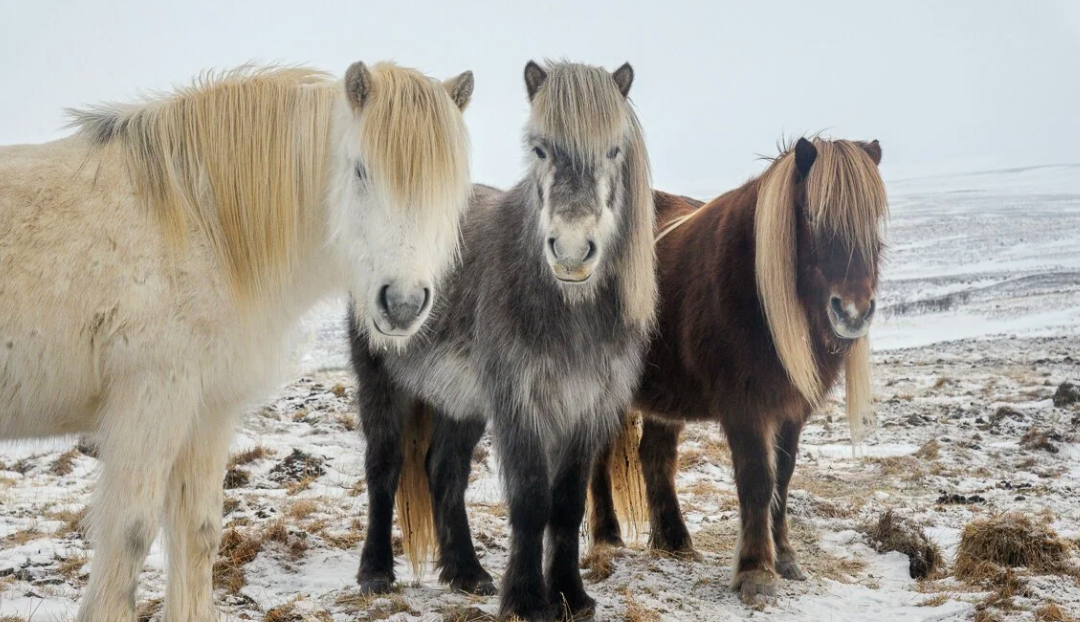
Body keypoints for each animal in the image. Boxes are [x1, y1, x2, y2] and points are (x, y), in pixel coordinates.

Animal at [0, 62, 474, 622]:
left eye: (450, 186)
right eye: (360, 171)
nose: (401, 303)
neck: (202, 223)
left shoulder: (206, 410)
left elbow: (199, 531)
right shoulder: (149, 403)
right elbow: (128, 535)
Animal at [348, 60, 656, 621]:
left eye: (614, 151)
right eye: (539, 148)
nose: (572, 252)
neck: (569, 309)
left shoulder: (588, 409)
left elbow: (567, 506)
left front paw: (571, 596)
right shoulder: (520, 404)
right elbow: (532, 501)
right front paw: (529, 599)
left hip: (461, 401)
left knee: (443, 471)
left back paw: (467, 573)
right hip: (380, 383)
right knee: (383, 469)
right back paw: (376, 573)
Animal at [588, 137, 888, 599]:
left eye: (873, 217)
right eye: (811, 215)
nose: (853, 312)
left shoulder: (791, 408)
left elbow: (783, 478)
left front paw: (786, 558)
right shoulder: (744, 406)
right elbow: (757, 479)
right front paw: (756, 570)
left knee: (655, 455)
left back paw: (675, 542)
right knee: (598, 459)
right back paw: (607, 541)